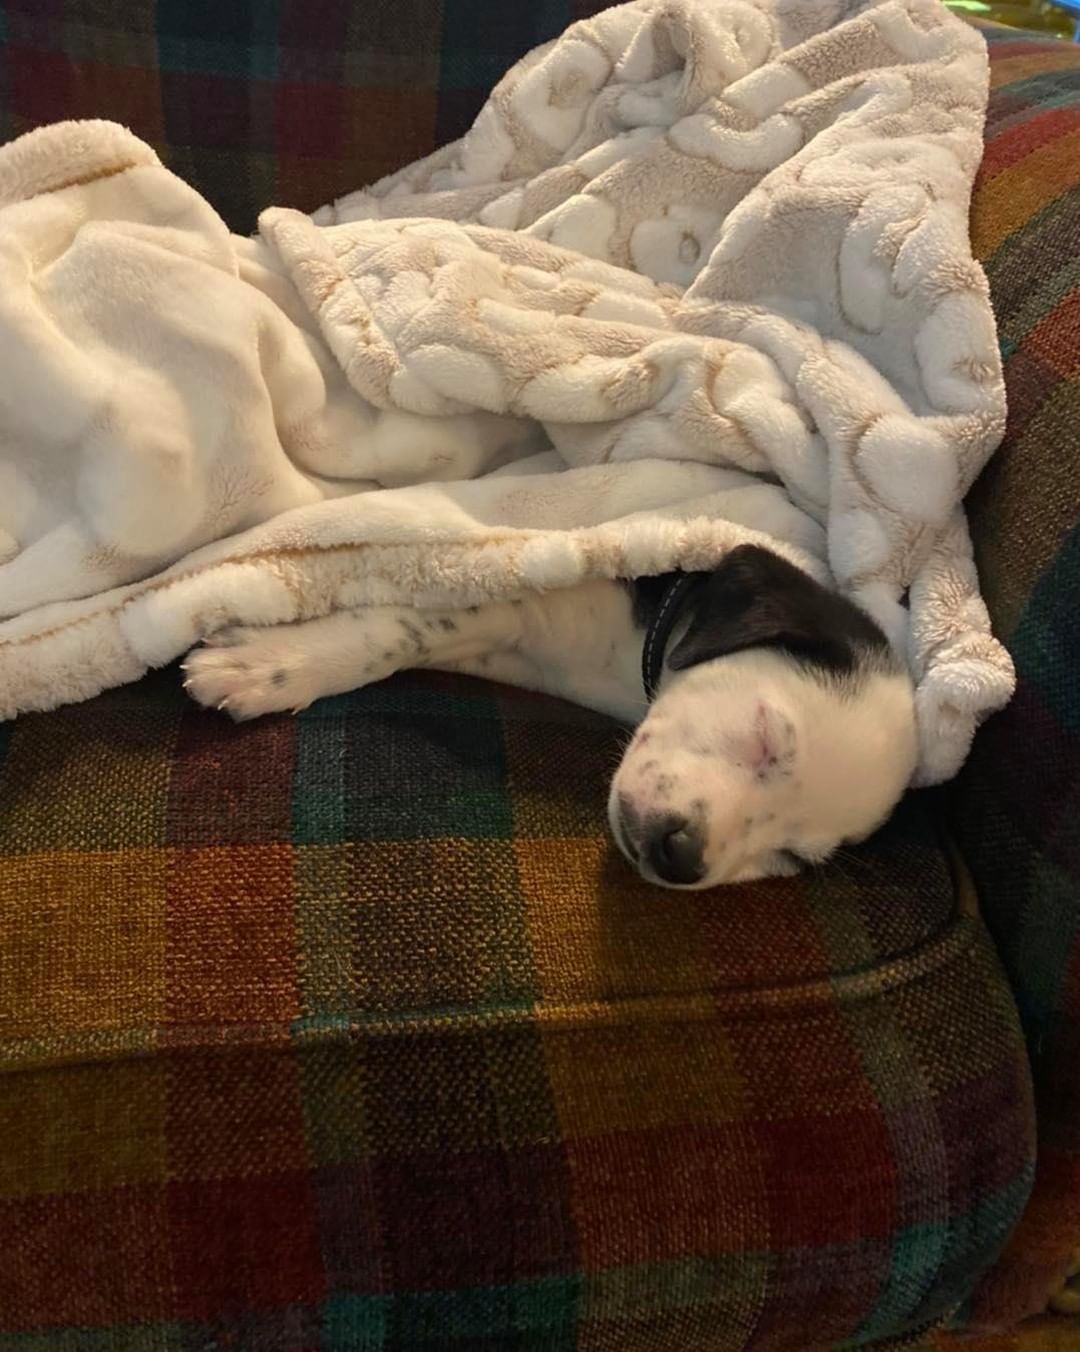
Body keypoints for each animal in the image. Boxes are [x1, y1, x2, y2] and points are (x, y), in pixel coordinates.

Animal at [181, 543, 919, 892]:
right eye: (765, 737)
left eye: (792, 857)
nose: (681, 858)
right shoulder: (508, 593)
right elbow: (396, 632)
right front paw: (272, 665)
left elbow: (409, 632)